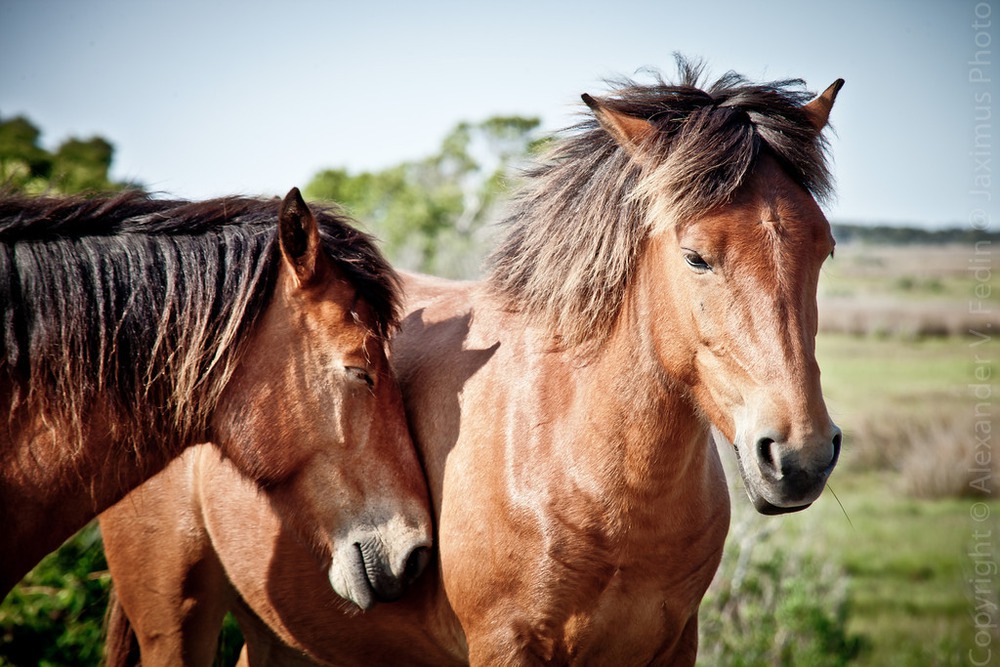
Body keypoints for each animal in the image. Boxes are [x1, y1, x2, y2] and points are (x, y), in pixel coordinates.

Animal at [105, 60, 844, 664]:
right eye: (696, 256)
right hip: (177, 617)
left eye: (825, 247)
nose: (801, 455)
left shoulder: (673, 646)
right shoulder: (505, 646)